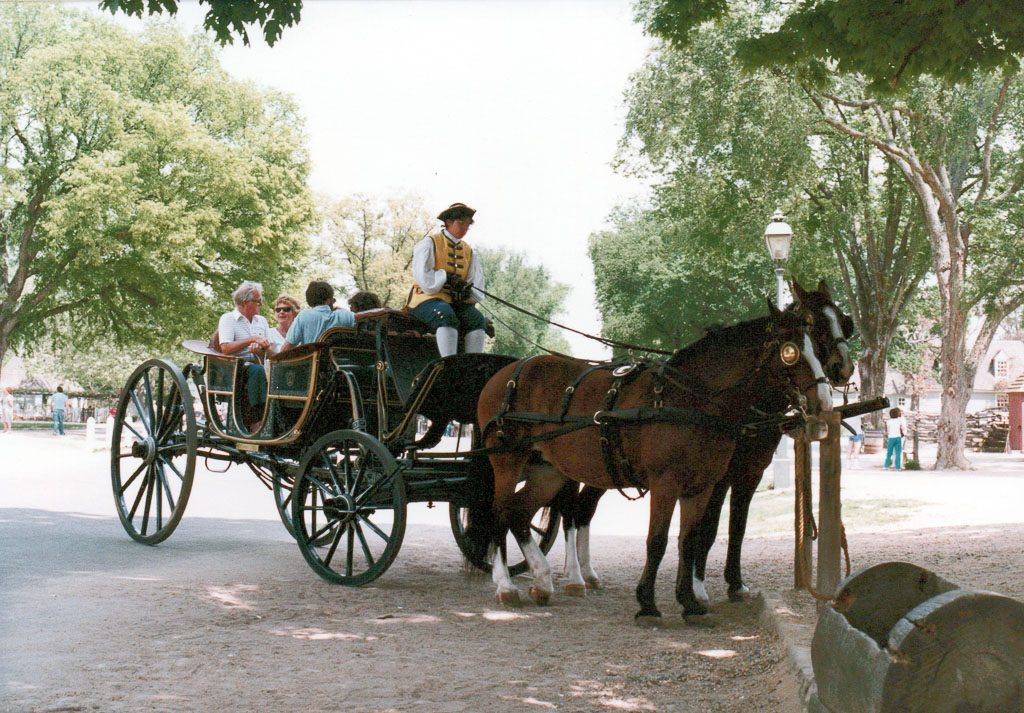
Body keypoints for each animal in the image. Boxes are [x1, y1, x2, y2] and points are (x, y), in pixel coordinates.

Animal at [469, 301, 833, 619]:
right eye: (790, 352)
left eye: (817, 349)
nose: (824, 402)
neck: (689, 399)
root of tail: (507, 373)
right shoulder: (666, 483)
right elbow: (657, 540)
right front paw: (647, 603)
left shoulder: (701, 486)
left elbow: (689, 540)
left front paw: (689, 601)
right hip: (507, 462)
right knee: (499, 513)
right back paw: (506, 585)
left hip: (549, 471)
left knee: (520, 514)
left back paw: (544, 581)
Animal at [552, 279, 855, 608]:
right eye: (815, 323)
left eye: (843, 320)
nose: (843, 368)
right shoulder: (716, 477)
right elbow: (706, 530)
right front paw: (696, 587)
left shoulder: (748, 474)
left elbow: (736, 527)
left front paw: (733, 583)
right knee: (570, 511)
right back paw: (574, 576)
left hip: (606, 469)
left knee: (584, 509)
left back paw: (587, 573)